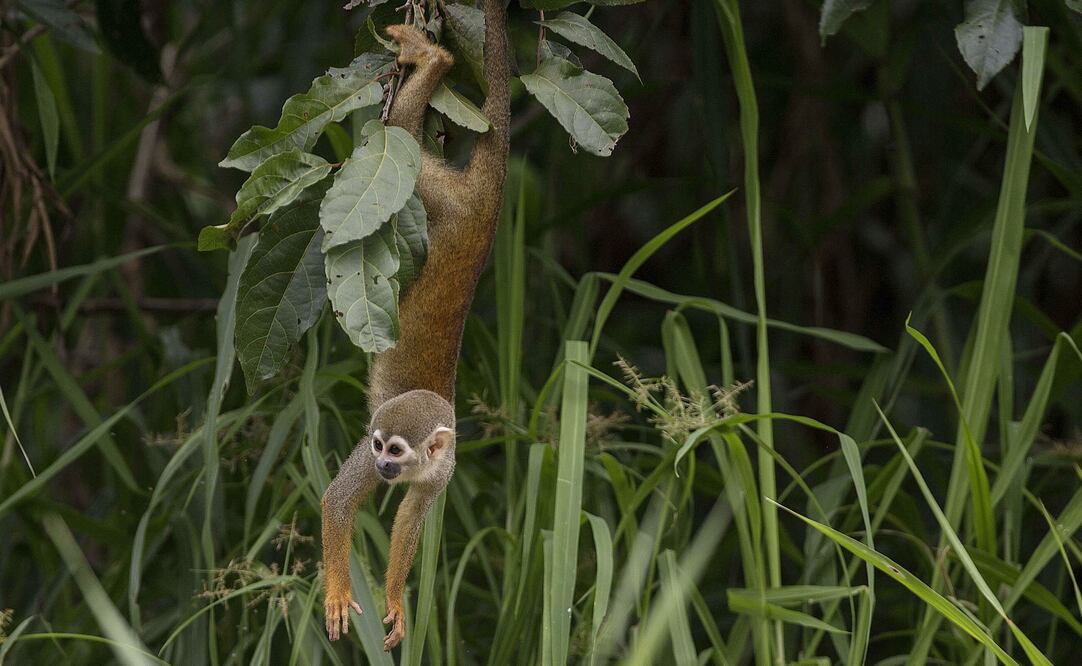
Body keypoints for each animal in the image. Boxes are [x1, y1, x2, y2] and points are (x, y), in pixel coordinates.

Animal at [321, 0, 510, 652]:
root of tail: (485, 206)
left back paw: (432, 61)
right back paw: (430, 63)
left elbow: (408, 523)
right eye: (379, 446)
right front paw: (338, 593)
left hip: (450, 203)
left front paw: (398, 598)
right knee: (398, 135)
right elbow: (337, 501)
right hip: (423, 186)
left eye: (396, 452)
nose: (382, 466)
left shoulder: (444, 468)